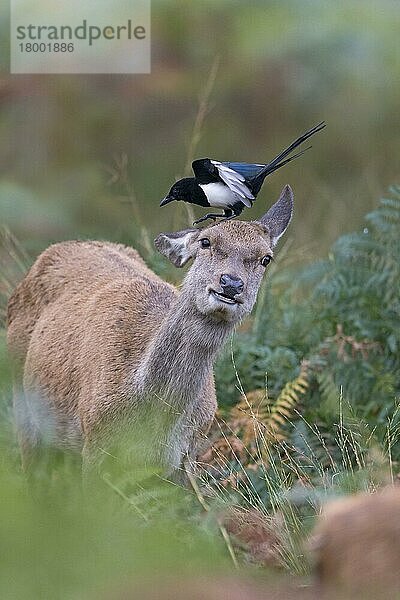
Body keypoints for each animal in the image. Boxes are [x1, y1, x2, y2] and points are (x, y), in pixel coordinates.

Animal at [6, 185, 294, 480]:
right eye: (206, 242)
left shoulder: (187, 456)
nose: (231, 283)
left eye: (265, 258)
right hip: (22, 399)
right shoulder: (94, 439)